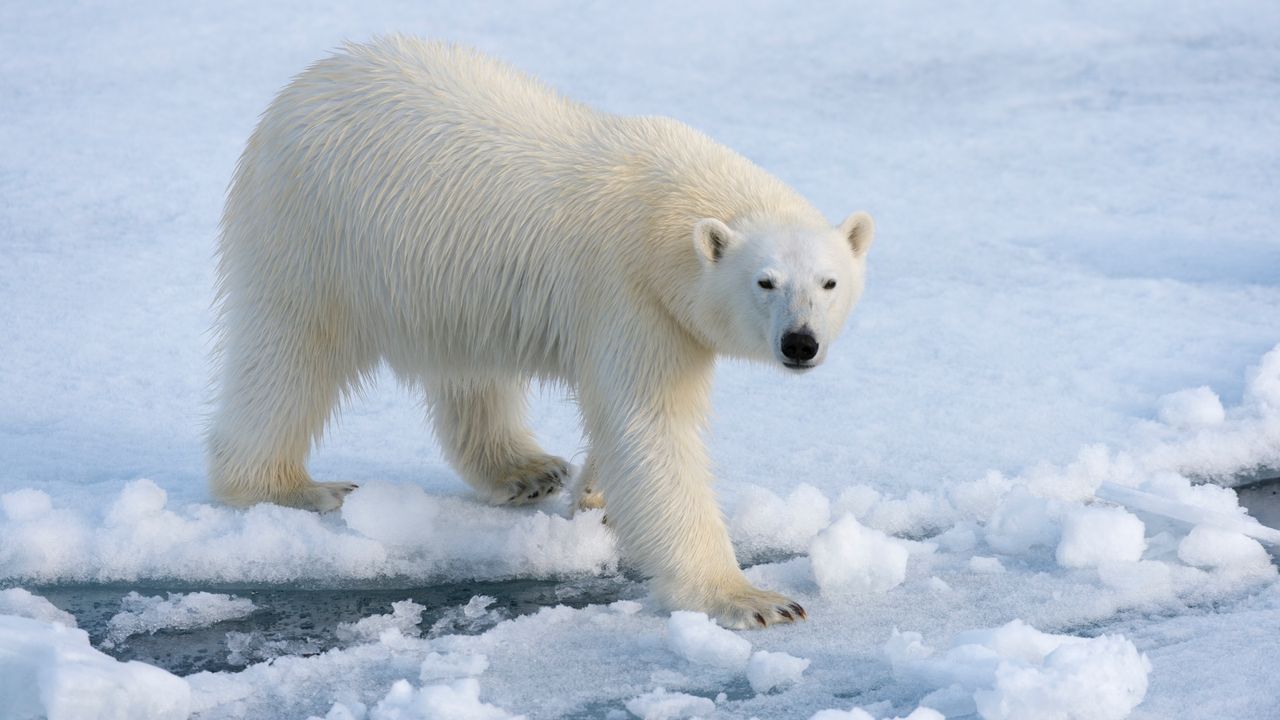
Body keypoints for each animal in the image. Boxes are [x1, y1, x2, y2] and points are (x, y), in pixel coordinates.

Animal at [207, 36, 870, 625]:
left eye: (829, 282)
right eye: (766, 282)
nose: (800, 343)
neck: (666, 205)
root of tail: (304, 85)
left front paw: (597, 496)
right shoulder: (628, 293)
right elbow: (652, 427)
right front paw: (754, 600)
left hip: (441, 279)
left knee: (467, 370)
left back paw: (525, 471)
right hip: (311, 234)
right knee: (288, 357)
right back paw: (294, 486)